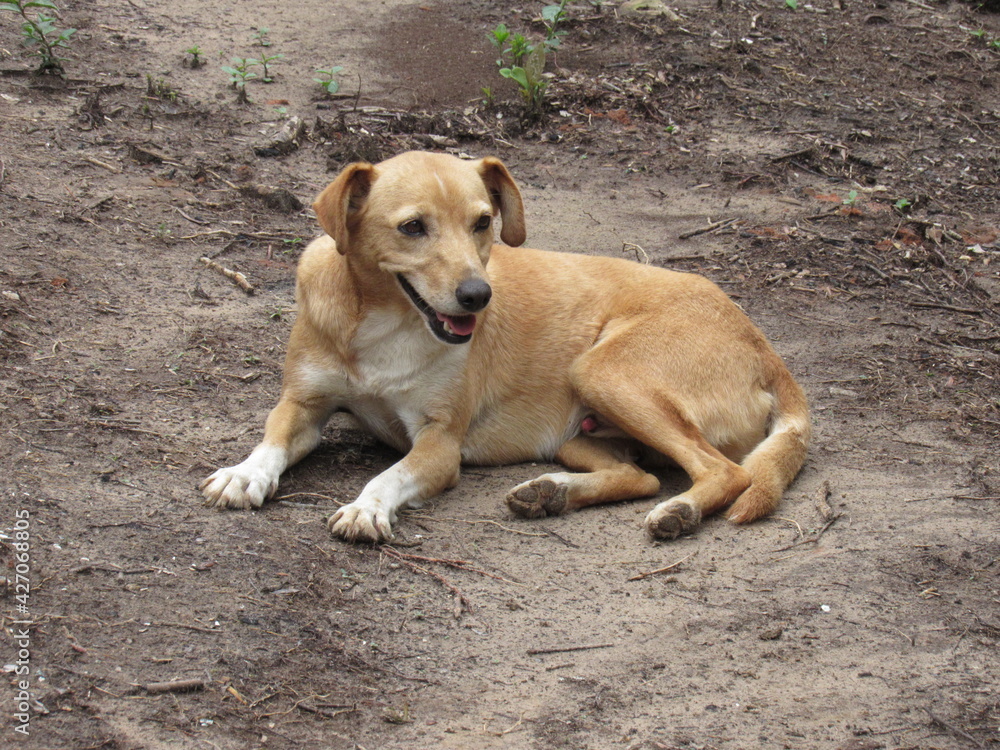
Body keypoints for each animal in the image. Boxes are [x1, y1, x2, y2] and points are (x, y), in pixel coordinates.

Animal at [199, 150, 808, 544]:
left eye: (483, 222)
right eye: (412, 227)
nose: (477, 295)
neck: (383, 323)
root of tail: (768, 353)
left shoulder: (439, 443)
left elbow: (389, 475)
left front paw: (366, 507)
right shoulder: (302, 404)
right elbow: (271, 442)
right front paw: (244, 473)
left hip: (605, 372)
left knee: (725, 473)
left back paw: (677, 511)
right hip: (581, 431)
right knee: (642, 476)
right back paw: (552, 493)